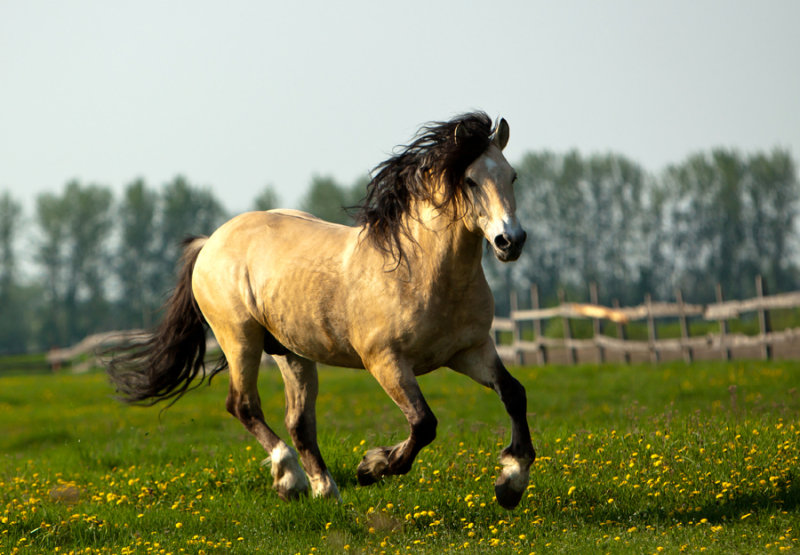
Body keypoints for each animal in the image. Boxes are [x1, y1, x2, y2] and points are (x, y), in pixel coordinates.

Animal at [104, 112, 532, 508]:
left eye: (512, 177)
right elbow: (424, 423)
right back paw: (290, 479)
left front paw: (511, 483)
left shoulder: (470, 351)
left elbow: (514, 393)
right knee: (243, 405)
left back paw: (325, 491)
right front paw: (372, 467)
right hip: (240, 339)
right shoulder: (386, 362)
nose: (510, 241)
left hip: (292, 353)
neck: (422, 271)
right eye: (471, 181)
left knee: (299, 423)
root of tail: (210, 242)